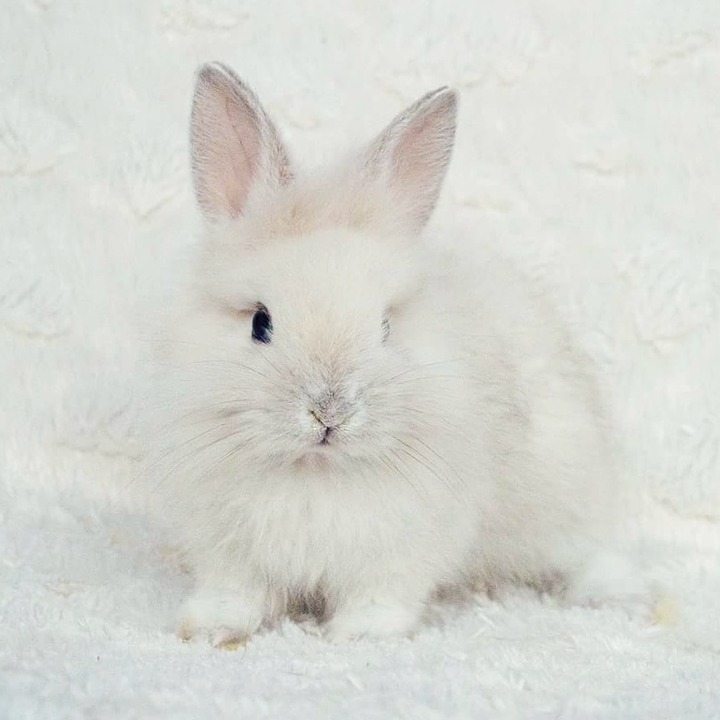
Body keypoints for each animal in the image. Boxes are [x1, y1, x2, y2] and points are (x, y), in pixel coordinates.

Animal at [143, 62, 649, 647]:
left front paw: (359, 637)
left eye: (386, 327)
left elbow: (381, 597)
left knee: (594, 552)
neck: (315, 472)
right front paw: (207, 629)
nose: (330, 413)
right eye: (259, 324)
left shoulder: (403, 549)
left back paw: (619, 597)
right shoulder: (228, 549)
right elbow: (234, 593)